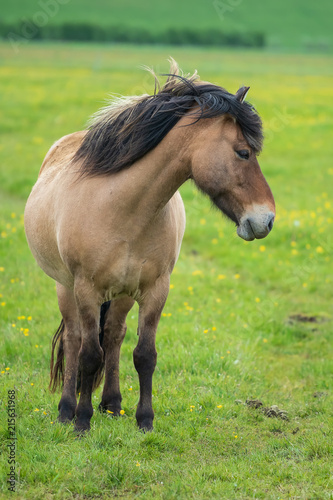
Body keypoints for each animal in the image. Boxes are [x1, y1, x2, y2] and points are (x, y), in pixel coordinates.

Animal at [24, 59, 274, 434]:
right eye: (243, 152)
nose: (267, 219)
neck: (123, 209)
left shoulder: (155, 290)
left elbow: (144, 354)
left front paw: (145, 420)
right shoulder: (86, 289)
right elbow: (88, 354)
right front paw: (82, 421)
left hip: (123, 293)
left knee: (113, 334)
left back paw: (112, 404)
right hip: (65, 286)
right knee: (73, 338)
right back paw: (67, 409)